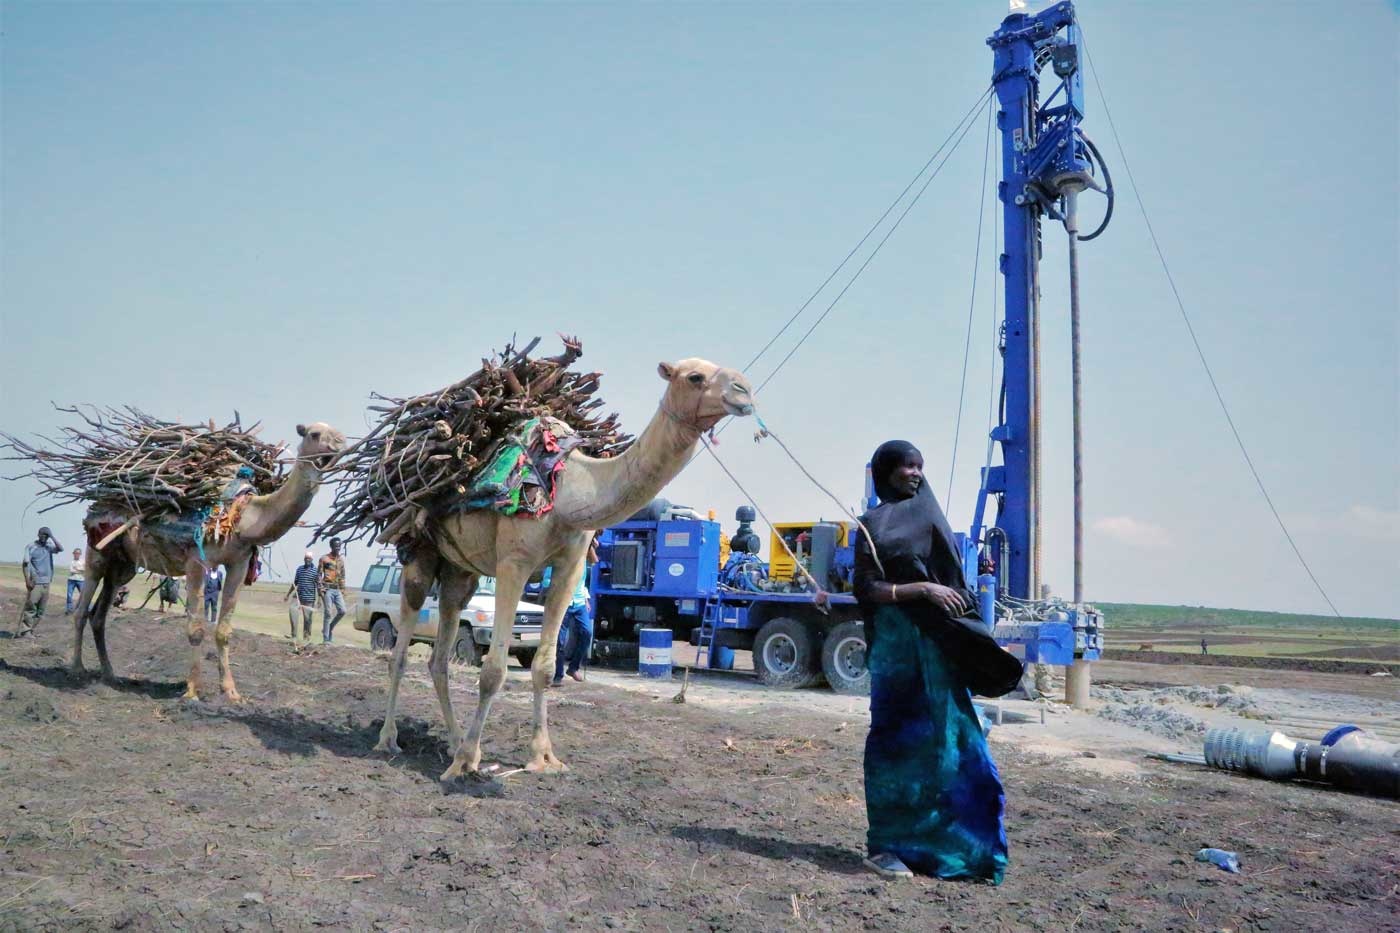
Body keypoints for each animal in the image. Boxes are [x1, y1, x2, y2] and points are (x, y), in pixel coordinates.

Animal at [72, 420, 345, 697]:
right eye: (315, 434)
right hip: (97, 552)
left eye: (339, 434)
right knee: (81, 610)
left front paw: (231, 693)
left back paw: (110, 675)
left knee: (99, 614)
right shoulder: (195, 561)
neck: (244, 515)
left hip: (122, 565)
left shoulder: (239, 563)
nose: (339, 445)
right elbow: (196, 629)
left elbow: (224, 631)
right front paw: (192, 691)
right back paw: (78, 669)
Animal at [372, 358, 750, 773]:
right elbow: (493, 670)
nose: (744, 391)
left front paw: (541, 757)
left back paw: (454, 740)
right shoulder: (514, 563)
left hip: (460, 571)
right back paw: (390, 740)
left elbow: (543, 665)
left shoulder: (570, 568)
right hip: (420, 553)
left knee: (440, 655)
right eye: (695, 377)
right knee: (400, 651)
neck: (569, 487)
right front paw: (465, 764)